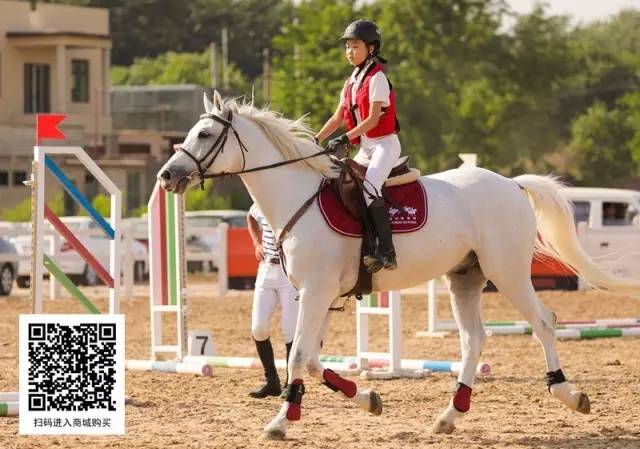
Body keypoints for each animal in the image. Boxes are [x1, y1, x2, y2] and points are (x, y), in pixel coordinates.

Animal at [158, 91, 640, 440]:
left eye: (205, 135)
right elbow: (309, 358)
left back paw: (569, 393)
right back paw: (450, 415)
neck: (299, 196)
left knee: (542, 321)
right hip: (465, 278)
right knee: (474, 340)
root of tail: (511, 184)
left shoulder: (315, 292)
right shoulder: (320, 296)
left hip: (507, 272)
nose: (167, 176)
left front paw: (280, 421)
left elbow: (297, 357)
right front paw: (365, 397)